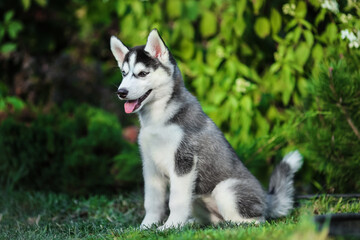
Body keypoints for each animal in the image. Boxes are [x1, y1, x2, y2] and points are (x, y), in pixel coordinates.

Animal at [109, 29, 300, 230]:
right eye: (124, 73)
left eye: (142, 73)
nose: (121, 92)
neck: (157, 119)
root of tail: (266, 198)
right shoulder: (150, 165)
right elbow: (152, 201)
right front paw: (146, 227)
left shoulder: (184, 162)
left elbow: (175, 201)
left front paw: (169, 226)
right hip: (197, 199)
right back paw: (193, 223)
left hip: (226, 189)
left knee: (256, 220)